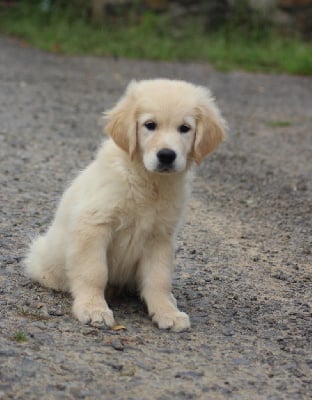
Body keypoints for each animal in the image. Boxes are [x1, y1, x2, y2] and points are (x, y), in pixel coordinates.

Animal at [23, 78, 224, 332]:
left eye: (185, 128)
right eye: (150, 125)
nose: (166, 155)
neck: (148, 181)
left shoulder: (160, 236)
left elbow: (158, 279)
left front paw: (166, 312)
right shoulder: (93, 225)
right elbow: (94, 272)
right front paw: (93, 308)